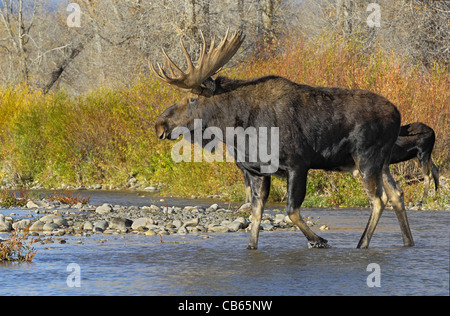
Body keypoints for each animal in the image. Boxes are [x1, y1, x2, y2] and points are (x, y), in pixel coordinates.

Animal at [151, 29, 414, 249]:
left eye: (192, 99)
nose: (160, 125)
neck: (237, 132)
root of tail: (398, 114)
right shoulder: (256, 171)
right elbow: (256, 215)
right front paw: (252, 247)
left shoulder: (297, 164)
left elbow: (292, 211)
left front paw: (319, 240)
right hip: (382, 162)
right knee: (397, 194)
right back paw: (408, 241)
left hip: (367, 158)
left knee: (378, 199)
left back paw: (362, 244)